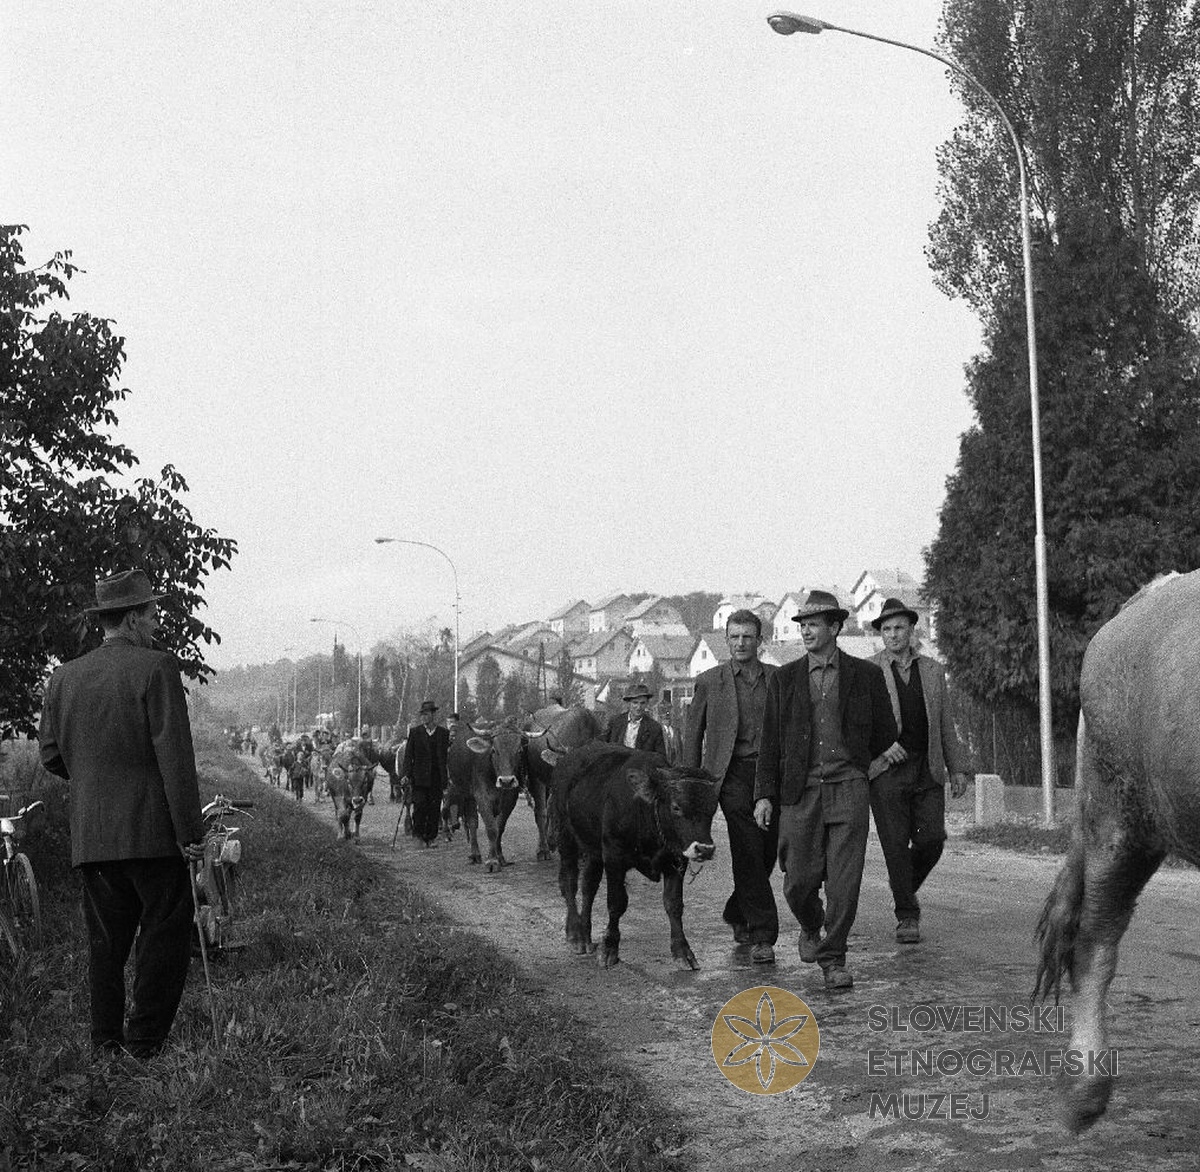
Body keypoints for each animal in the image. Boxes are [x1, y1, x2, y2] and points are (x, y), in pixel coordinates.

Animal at [446, 722, 526, 871]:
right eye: (494, 750)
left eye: (519, 751)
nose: (506, 781)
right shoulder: (482, 797)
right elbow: (491, 828)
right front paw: (492, 861)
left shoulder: (510, 799)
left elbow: (499, 827)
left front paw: (500, 858)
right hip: (466, 795)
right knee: (472, 822)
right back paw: (475, 854)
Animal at [553, 742, 719, 970]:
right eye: (676, 807)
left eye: (713, 808)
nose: (704, 848)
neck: (645, 812)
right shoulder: (614, 857)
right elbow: (616, 903)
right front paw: (609, 948)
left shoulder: (676, 861)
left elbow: (674, 904)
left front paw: (683, 952)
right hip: (566, 837)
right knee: (569, 883)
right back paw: (576, 934)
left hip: (593, 850)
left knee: (589, 887)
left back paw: (586, 934)